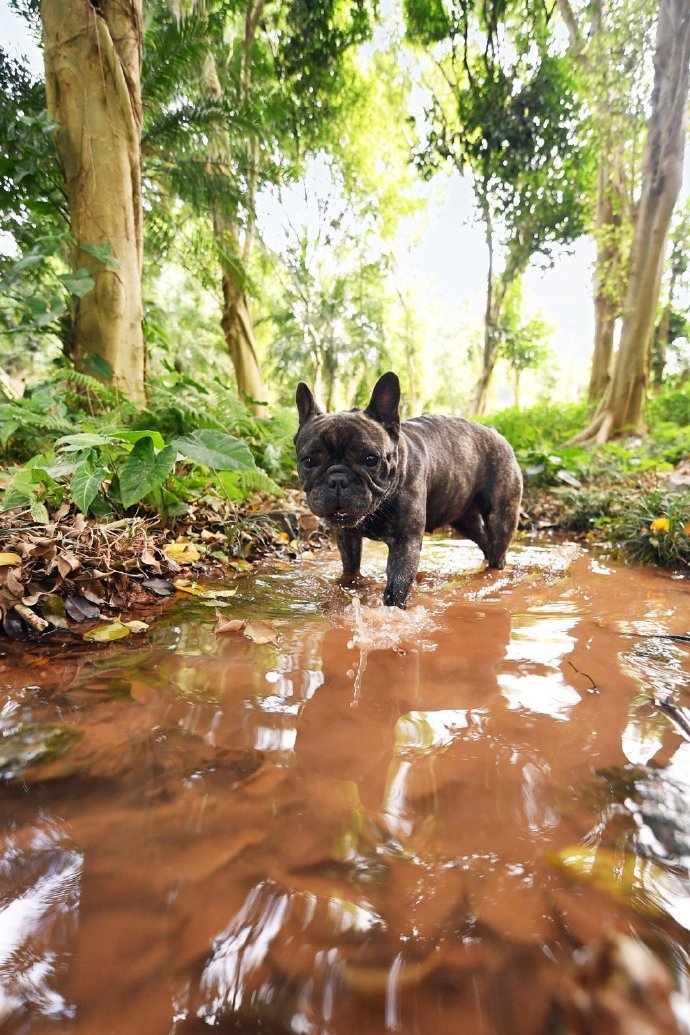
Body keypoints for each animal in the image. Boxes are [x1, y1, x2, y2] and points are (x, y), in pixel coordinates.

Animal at [293, 374, 521, 604]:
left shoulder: (405, 542)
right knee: (485, 542)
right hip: (465, 521)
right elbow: (350, 567)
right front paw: (346, 586)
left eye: (371, 460)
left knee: (497, 548)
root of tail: (497, 434)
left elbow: (398, 584)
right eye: (309, 461)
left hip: (501, 517)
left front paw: (392, 608)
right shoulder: (347, 536)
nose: (338, 479)